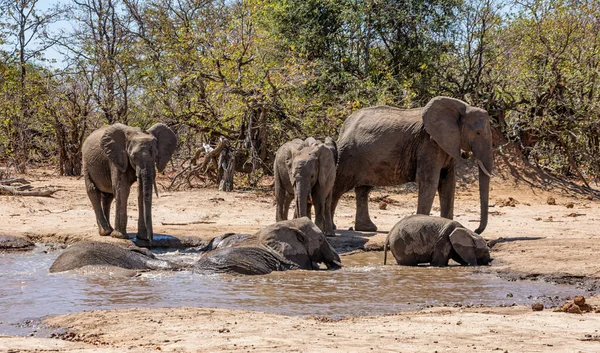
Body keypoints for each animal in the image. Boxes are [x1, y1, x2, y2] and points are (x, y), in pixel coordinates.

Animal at [332, 96, 492, 234]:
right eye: (478, 133)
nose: (476, 230)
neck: (461, 107)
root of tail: (343, 128)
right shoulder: (429, 143)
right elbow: (429, 182)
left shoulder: (446, 144)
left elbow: (448, 183)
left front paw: (451, 227)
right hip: (347, 155)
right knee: (338, 186)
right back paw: (333, 228)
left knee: (363, 189)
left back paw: (367, 228)